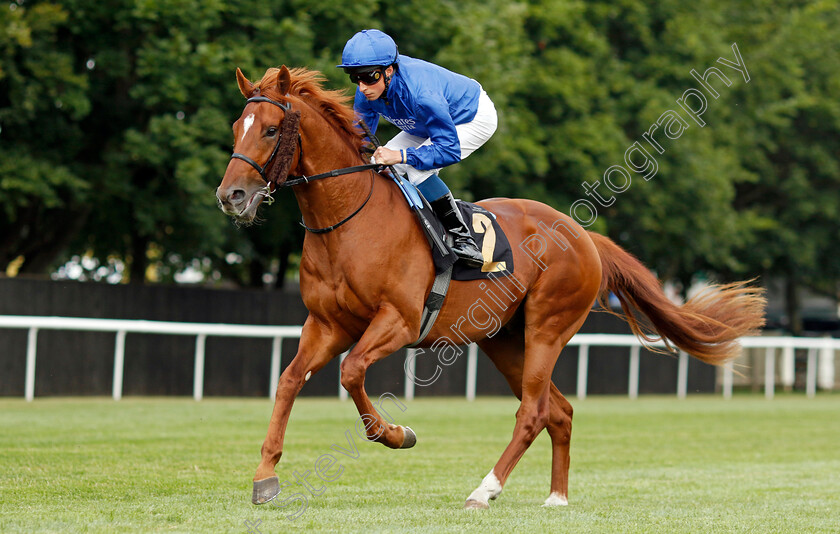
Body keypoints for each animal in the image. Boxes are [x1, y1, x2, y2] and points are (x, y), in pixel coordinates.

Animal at [217, 66, 768, 510]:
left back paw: (485, 490)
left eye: (271, 129)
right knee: (560, 411)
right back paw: (556, 497)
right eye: (236, 129)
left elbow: (352, 372)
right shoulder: (327, 323)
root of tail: (582, 235)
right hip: (504, 339)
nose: (232, 196)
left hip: (547, 327)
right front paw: (265, 476)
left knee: (534, 410)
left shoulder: (398, 321)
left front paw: (397, 434)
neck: (348, 219)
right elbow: (290, 379)